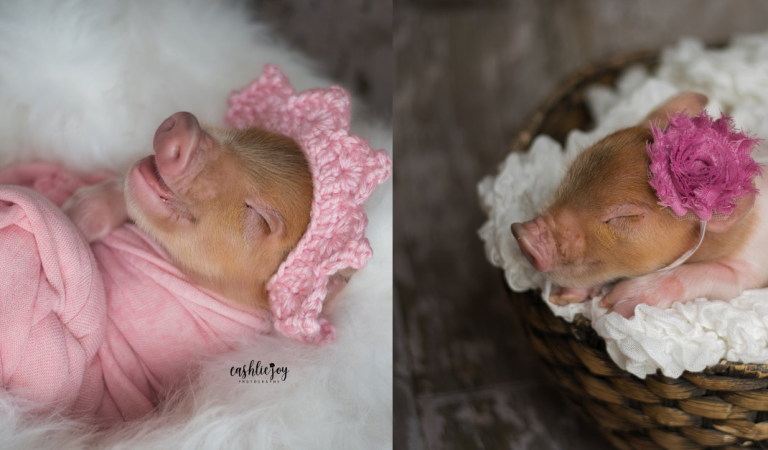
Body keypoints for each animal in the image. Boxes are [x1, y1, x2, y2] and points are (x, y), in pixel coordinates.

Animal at [510, 92, 768, 317]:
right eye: (574, 170)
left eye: (626, 217)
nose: (522, 235)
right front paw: (563, 297)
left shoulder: (744, 276)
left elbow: (704, 275)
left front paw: (611, 306)